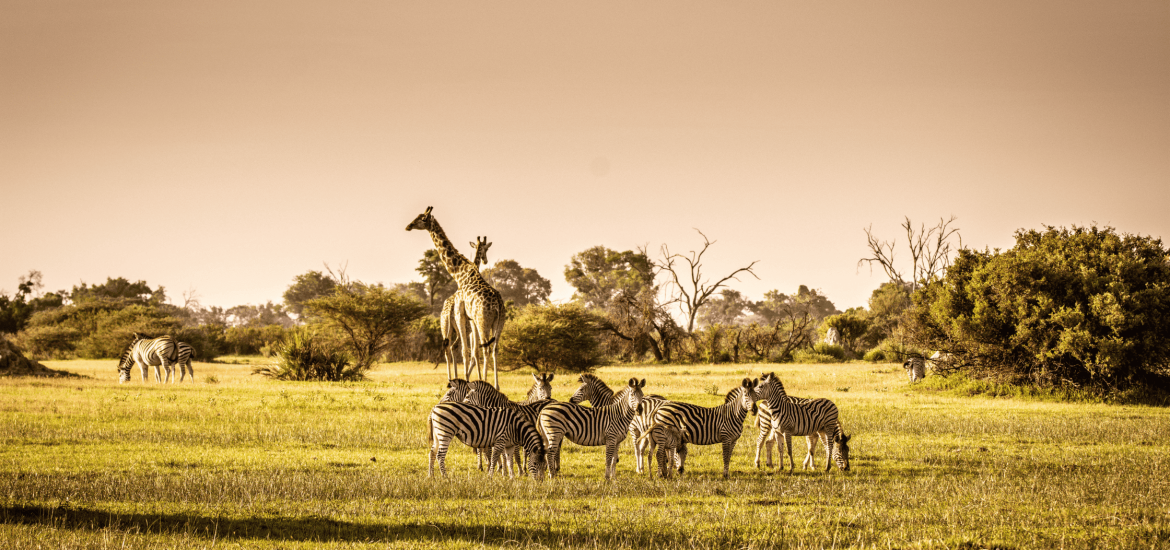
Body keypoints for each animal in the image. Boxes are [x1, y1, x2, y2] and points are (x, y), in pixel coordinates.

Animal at [407, 207, 507, 390]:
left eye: (422, 219)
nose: (408, 226)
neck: (461, 273)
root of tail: (498, 304)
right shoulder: (470, 319)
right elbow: (471, 351)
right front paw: (469, 380)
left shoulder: (462, 315)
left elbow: (467, 352)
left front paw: (468, 381)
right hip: (499, 322)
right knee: (493, 348)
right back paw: (495, 386)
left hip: (480, 321)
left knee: (480, 348)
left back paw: (478, 382)